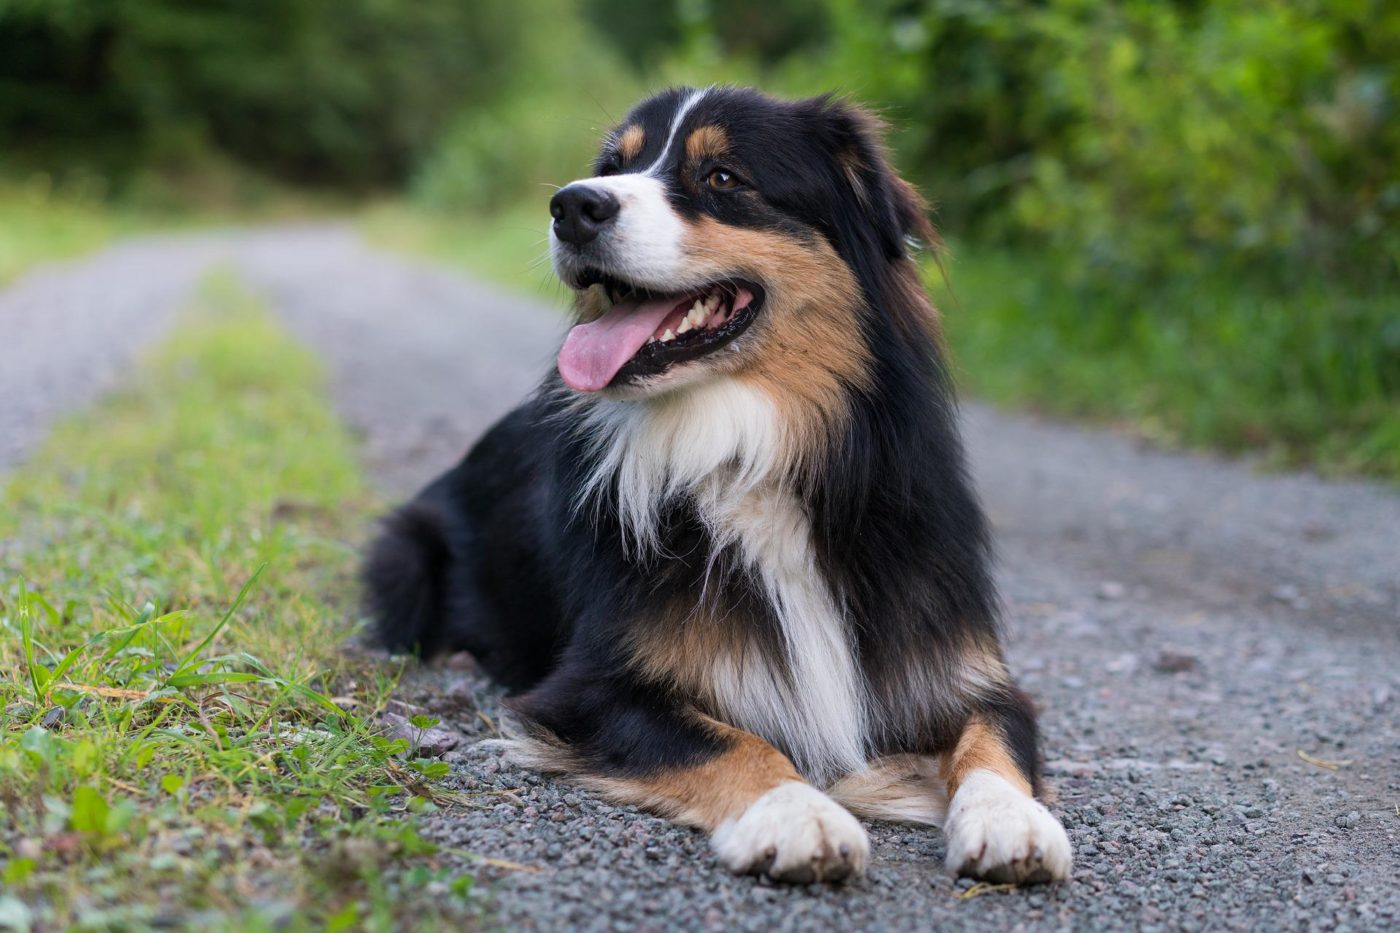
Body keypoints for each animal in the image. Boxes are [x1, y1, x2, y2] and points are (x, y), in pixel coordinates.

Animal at [364, 87, 1069, 885]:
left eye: (724, 177)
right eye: (611, 167)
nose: (572, 205)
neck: (749, 449)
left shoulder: (961, 669)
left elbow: (994, 738)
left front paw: (1012, 820)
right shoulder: (589, 686)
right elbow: (732, 740)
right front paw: (798, 815)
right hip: (404, 554)